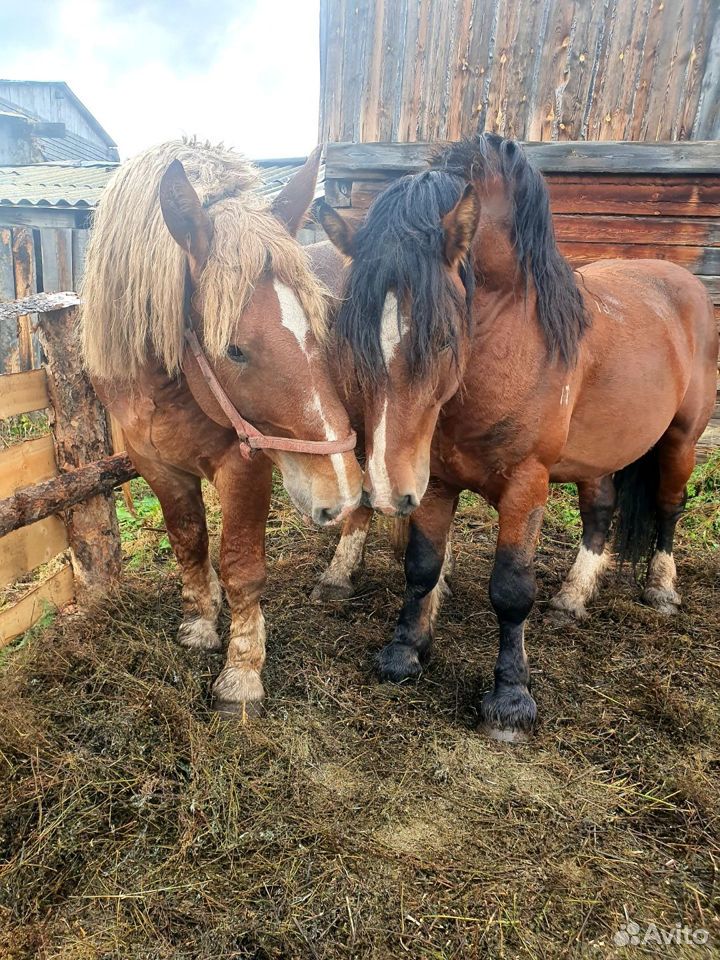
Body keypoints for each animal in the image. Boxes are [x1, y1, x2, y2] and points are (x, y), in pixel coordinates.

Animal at [79, 141, 362, 712]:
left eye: (322, 325)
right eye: (233, 349)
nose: (336, 493)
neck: (164, 391)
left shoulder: (245, 465)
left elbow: (241, 567)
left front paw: (241, 672)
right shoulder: (156, 467)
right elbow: (188, 542)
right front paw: (200, 623)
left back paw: (342, 574)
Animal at [318, 131, 716, 744]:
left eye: (442, 338)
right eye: (349, 338)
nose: (385, 491)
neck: (514, 338)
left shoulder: (526, 484)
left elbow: (510, 589)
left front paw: (509, 701)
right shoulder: (435, 481)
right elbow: (422, 566)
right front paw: (405, 652)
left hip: (679, 441)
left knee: (669, 508)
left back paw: (661, 590)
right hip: (598, 455)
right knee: (600, 513)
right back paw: (572, 600)